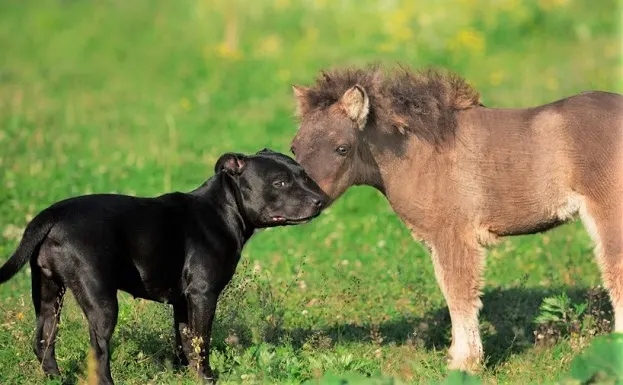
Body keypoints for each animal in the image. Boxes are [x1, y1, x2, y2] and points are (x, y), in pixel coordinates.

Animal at [0, 148, 330, 382]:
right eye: (280, 182)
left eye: (303, 175)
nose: (321, 199)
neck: (223, 209)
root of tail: (52, 215)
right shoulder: (203, 294)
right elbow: (201, 341)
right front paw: (206, 378)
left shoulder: (183, 302)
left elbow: (185, 340)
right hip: (101, 301)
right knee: (99, 351)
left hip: (48, 293)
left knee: (44, 341)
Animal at [292, 65, 623, 368]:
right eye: (294, 148)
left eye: (342, 148)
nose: (308, 202)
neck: (420, 155)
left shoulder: (453, 234)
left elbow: (459, 292)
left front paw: (465, 363)